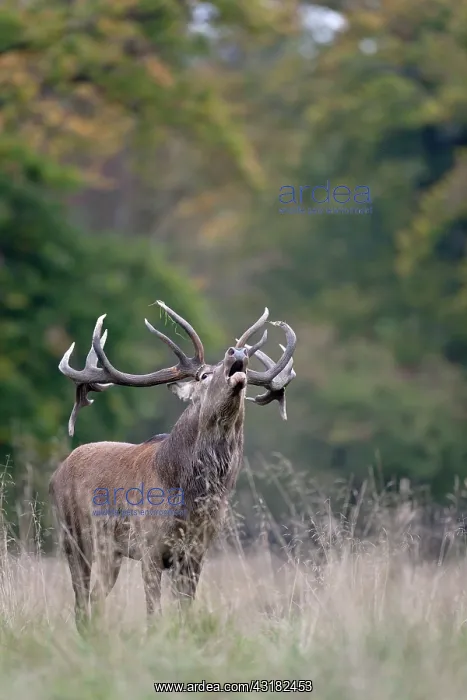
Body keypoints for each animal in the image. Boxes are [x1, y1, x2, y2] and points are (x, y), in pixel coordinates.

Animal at [49, 301, 296, 633]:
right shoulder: (149, 546)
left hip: (110, 550)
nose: (237, 352)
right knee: (83, 596)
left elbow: (185, 612)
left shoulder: (196, 552)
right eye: (203, 376)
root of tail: (56, 473)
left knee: (95, 596)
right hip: (75, 536)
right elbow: (154, 612)